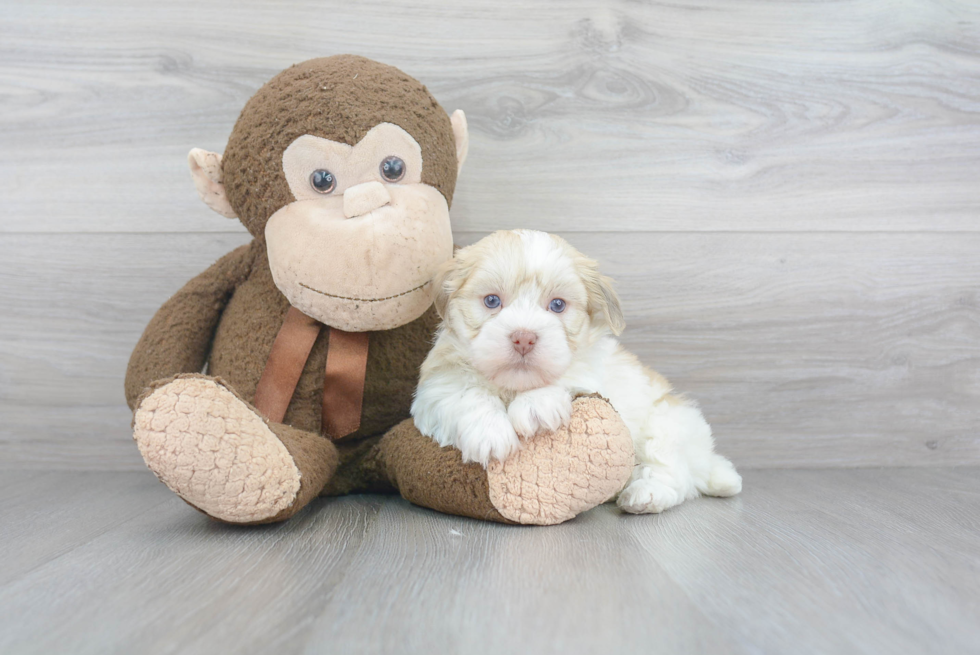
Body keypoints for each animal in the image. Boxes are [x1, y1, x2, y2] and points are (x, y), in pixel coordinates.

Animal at [408, 229, 744, 512]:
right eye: (492, 301)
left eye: (557, 305)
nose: (524, 338)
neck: (513, 386)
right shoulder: (437, 384)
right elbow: (464, 393)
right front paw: (489, 433)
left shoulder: (595, 371)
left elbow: (571, 373)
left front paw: (536, 405)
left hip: (669, 424)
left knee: (675, 474)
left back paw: (645, 495)